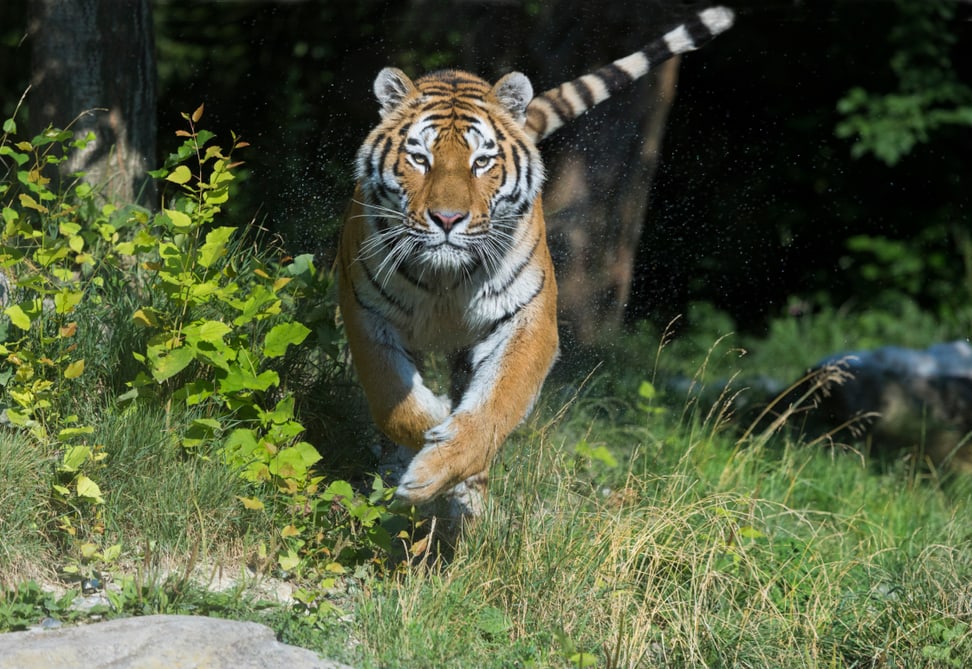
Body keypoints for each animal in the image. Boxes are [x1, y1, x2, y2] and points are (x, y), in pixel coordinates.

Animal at [338, 3, 732, 512]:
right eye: (420, 159)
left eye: (481, 162)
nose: (447, 218)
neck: (446, 283)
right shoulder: (365, 312)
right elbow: (396, 400)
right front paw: (426, 447)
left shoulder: (528, 317)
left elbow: (496, 405)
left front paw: (439, 470)